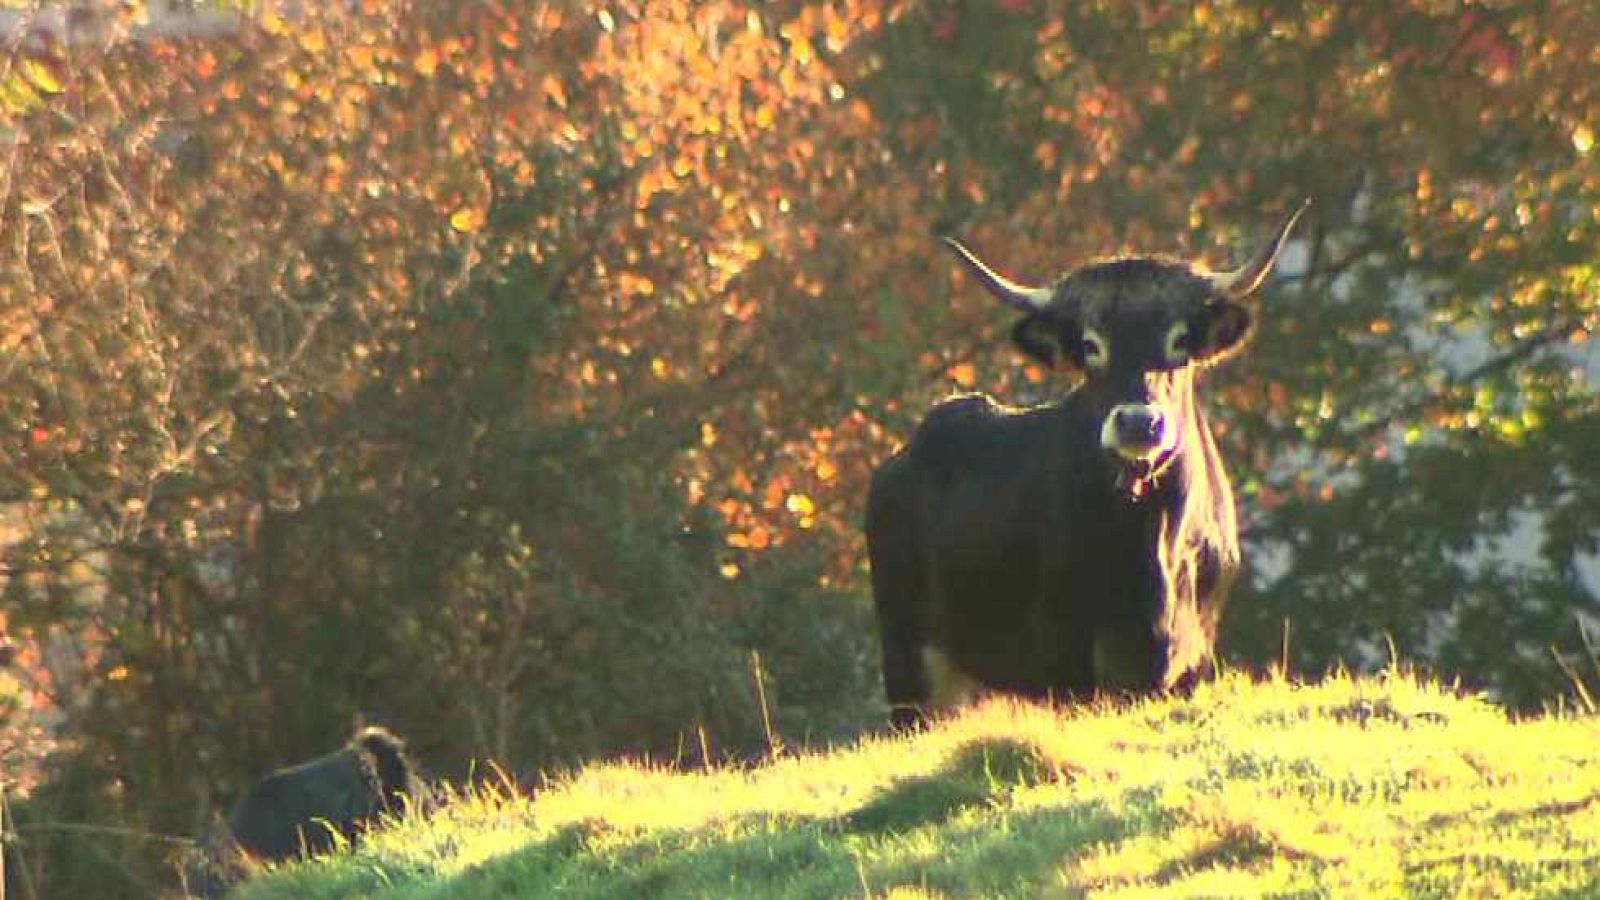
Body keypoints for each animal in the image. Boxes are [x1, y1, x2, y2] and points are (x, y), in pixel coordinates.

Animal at [866, 204, 1307, 727]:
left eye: (1179, 340)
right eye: (1092, 345)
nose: (1138, 422)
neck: (1153, 542)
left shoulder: (1190, 658)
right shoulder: (1065, 653)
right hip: (910, 661)